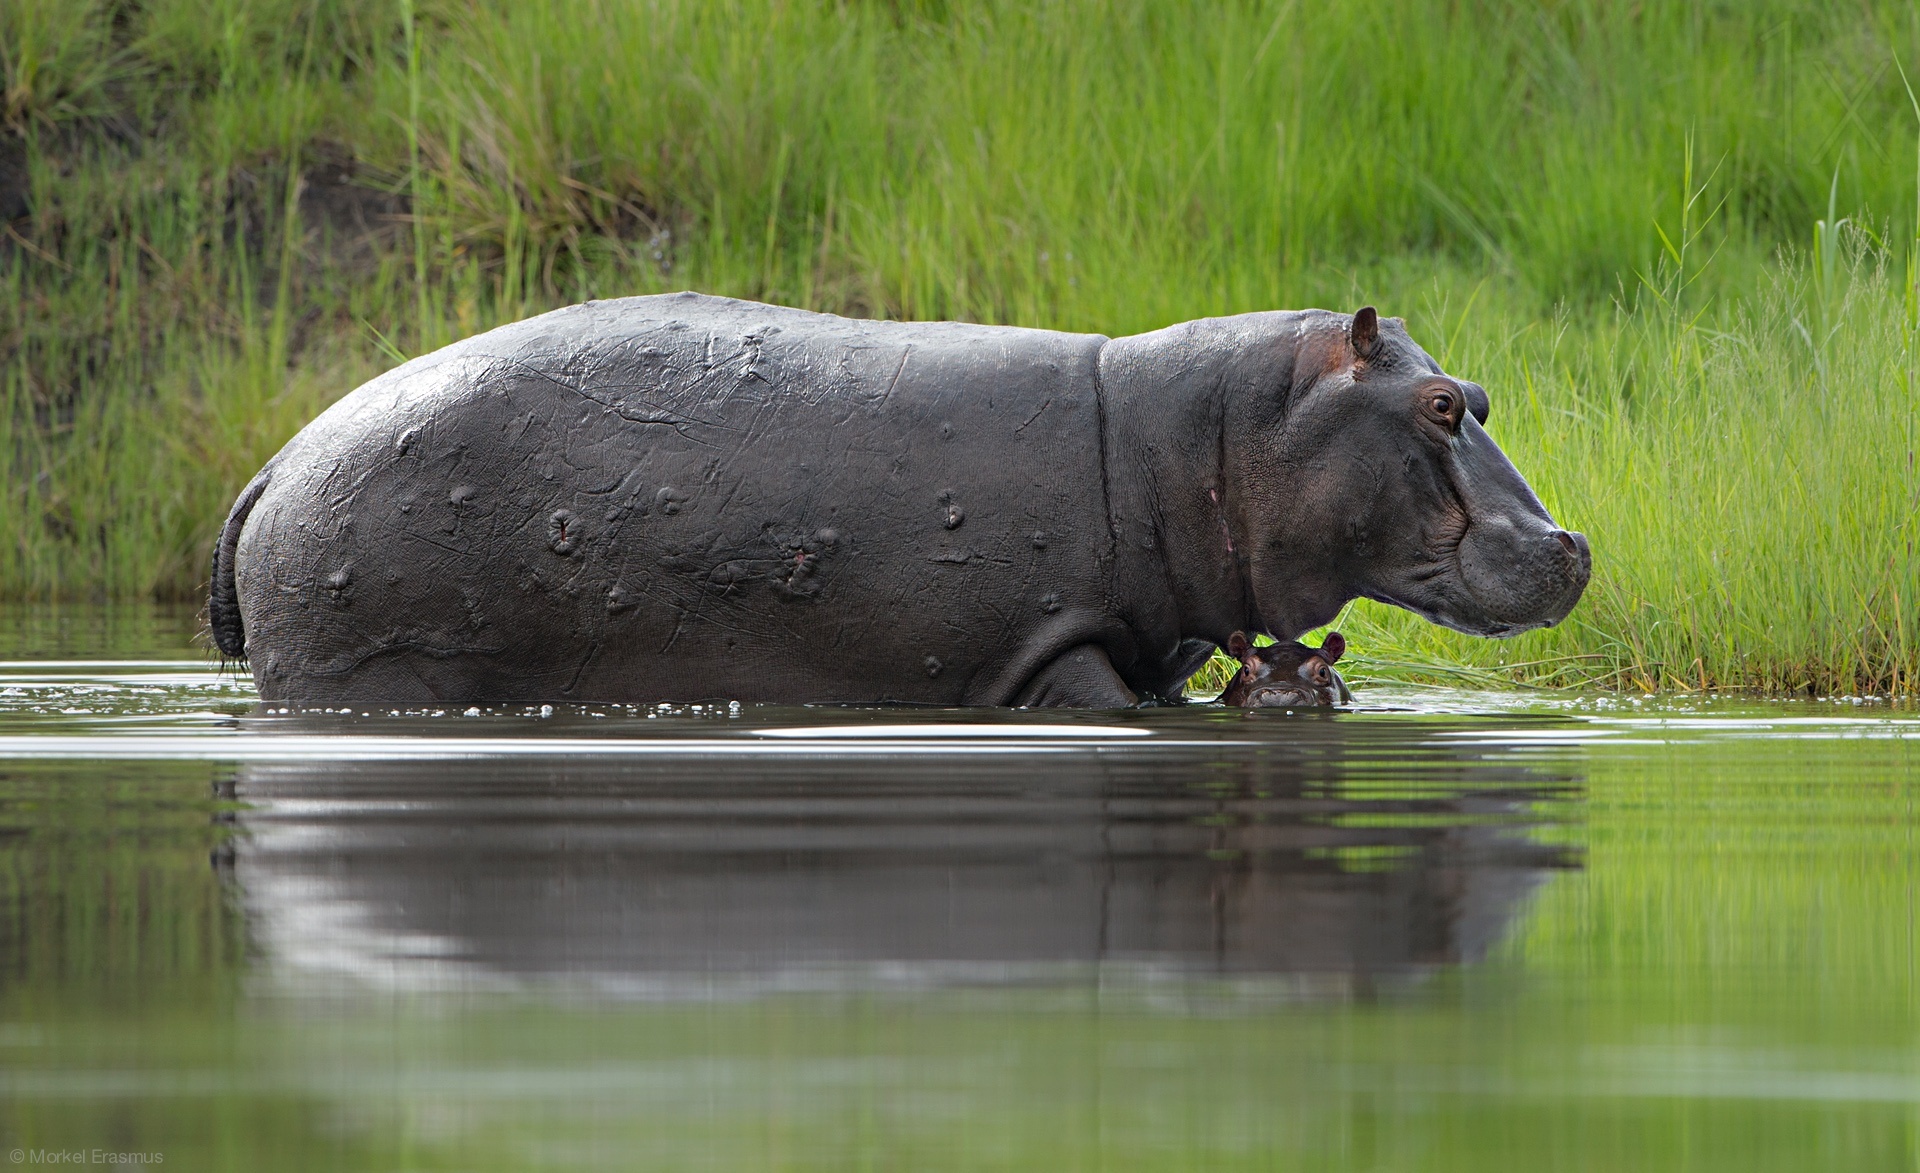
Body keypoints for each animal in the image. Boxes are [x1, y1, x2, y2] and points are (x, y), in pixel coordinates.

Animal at [206, 297, 1589, 710]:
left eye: (1479, 389)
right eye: (1438, 409)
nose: (1572, 542)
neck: (1201, 434)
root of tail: (276, 462)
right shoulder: (1049, 650)